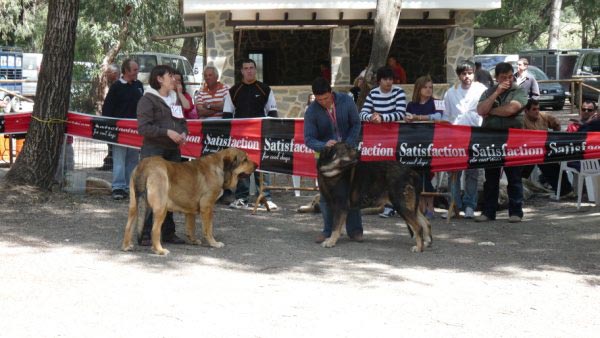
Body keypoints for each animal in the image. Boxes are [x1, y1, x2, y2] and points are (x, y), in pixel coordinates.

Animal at [120, 147, 254, 255]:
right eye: (245, 160)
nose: (256, 165)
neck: (219, 167)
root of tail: (145, 165)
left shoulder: (190, 211)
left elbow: (191, 228)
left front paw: (193, 241)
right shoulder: (207, 207)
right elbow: (208, 229)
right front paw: (214, 243)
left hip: (134, 206)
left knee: (128, 226)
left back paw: (126, 247)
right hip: (161, 208)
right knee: (155, 230)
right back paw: (159, 250)